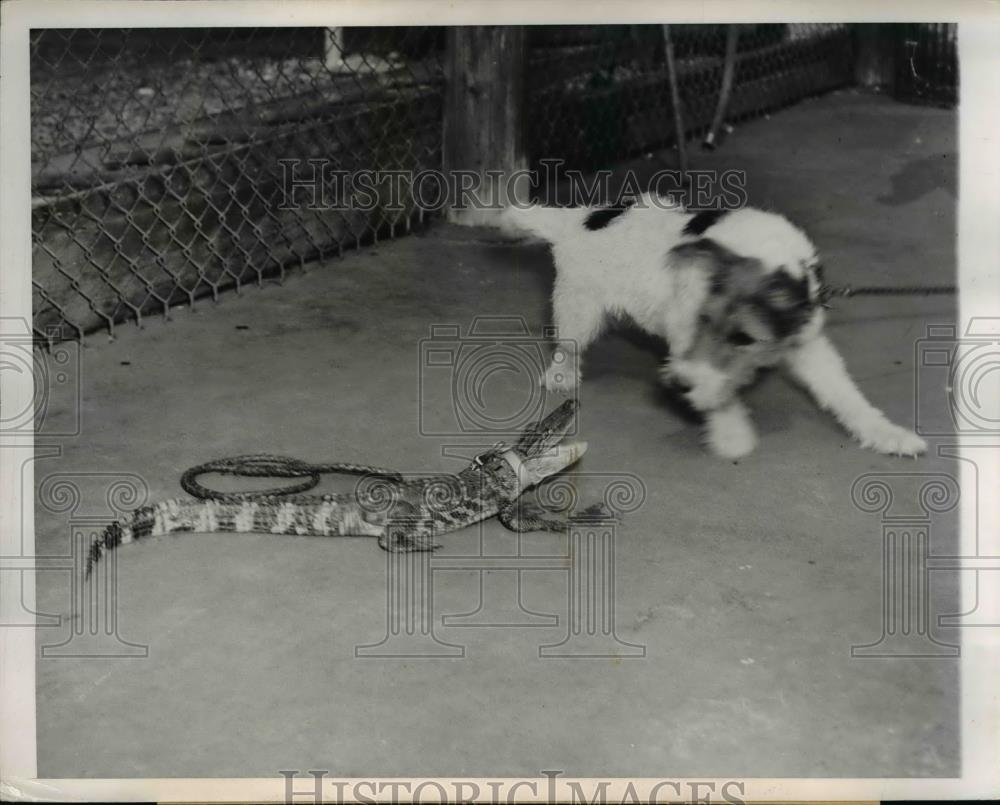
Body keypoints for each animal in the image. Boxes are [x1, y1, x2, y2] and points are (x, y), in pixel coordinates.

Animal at [496, 195, 924, 458]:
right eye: (703, 319)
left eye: (744, 337)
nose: (675, 386)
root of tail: (581, 218)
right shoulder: (683, 328)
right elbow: (713, 382)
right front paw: (731, 432)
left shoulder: (808, 344)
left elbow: (845, 394)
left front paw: (889, 434)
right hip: (579, 307)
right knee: (567, 347)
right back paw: (561, 375)